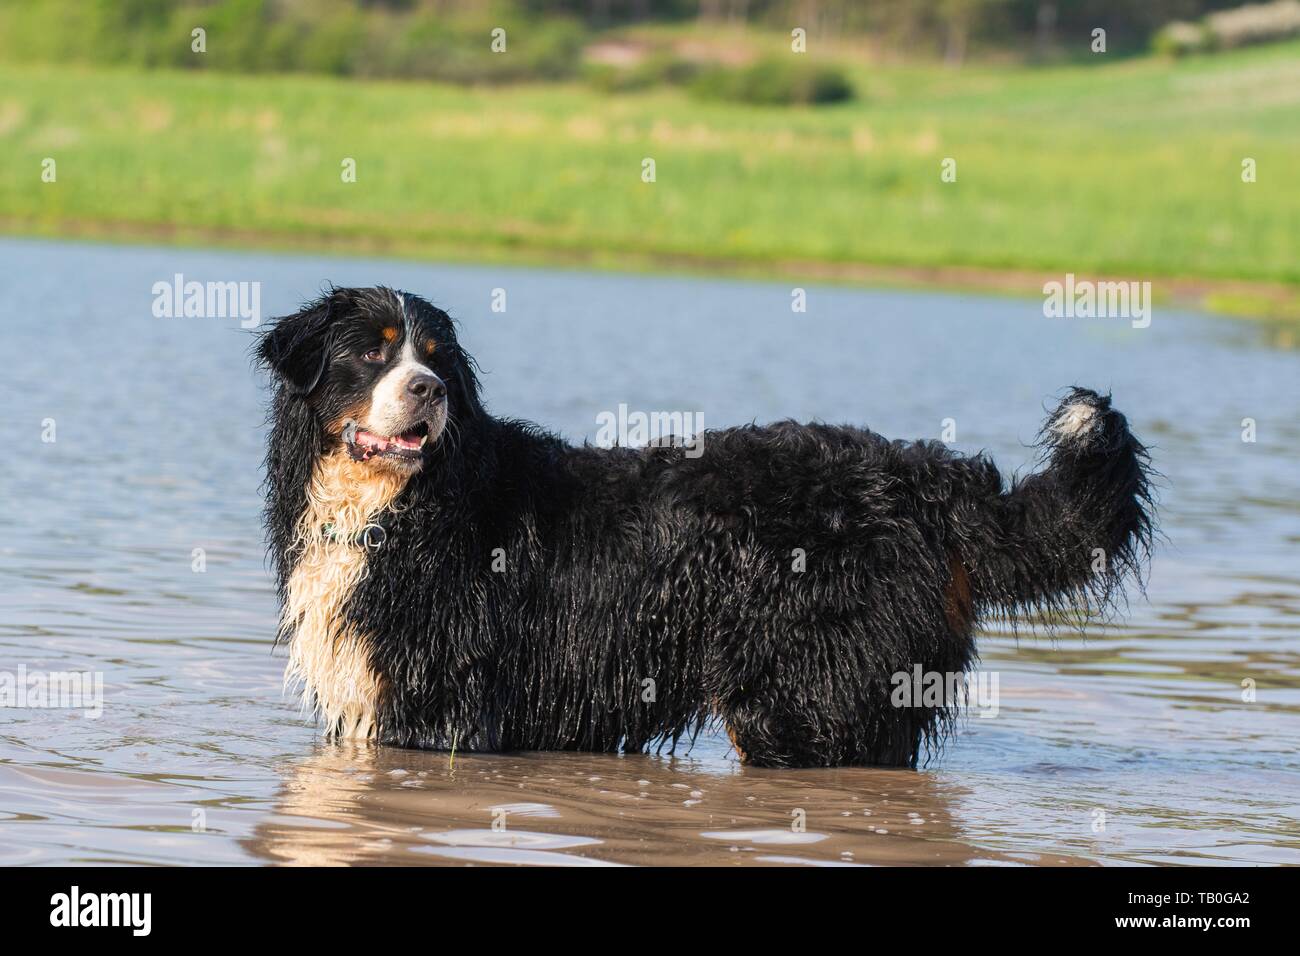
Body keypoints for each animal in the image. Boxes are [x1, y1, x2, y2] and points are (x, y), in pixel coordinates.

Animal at [258, 283, 1154, 770]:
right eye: (374, 354)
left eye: (437, 357)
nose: (430, 391)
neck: (402, 505)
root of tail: (922, 478)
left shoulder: (440, 702)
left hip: (807, 698)